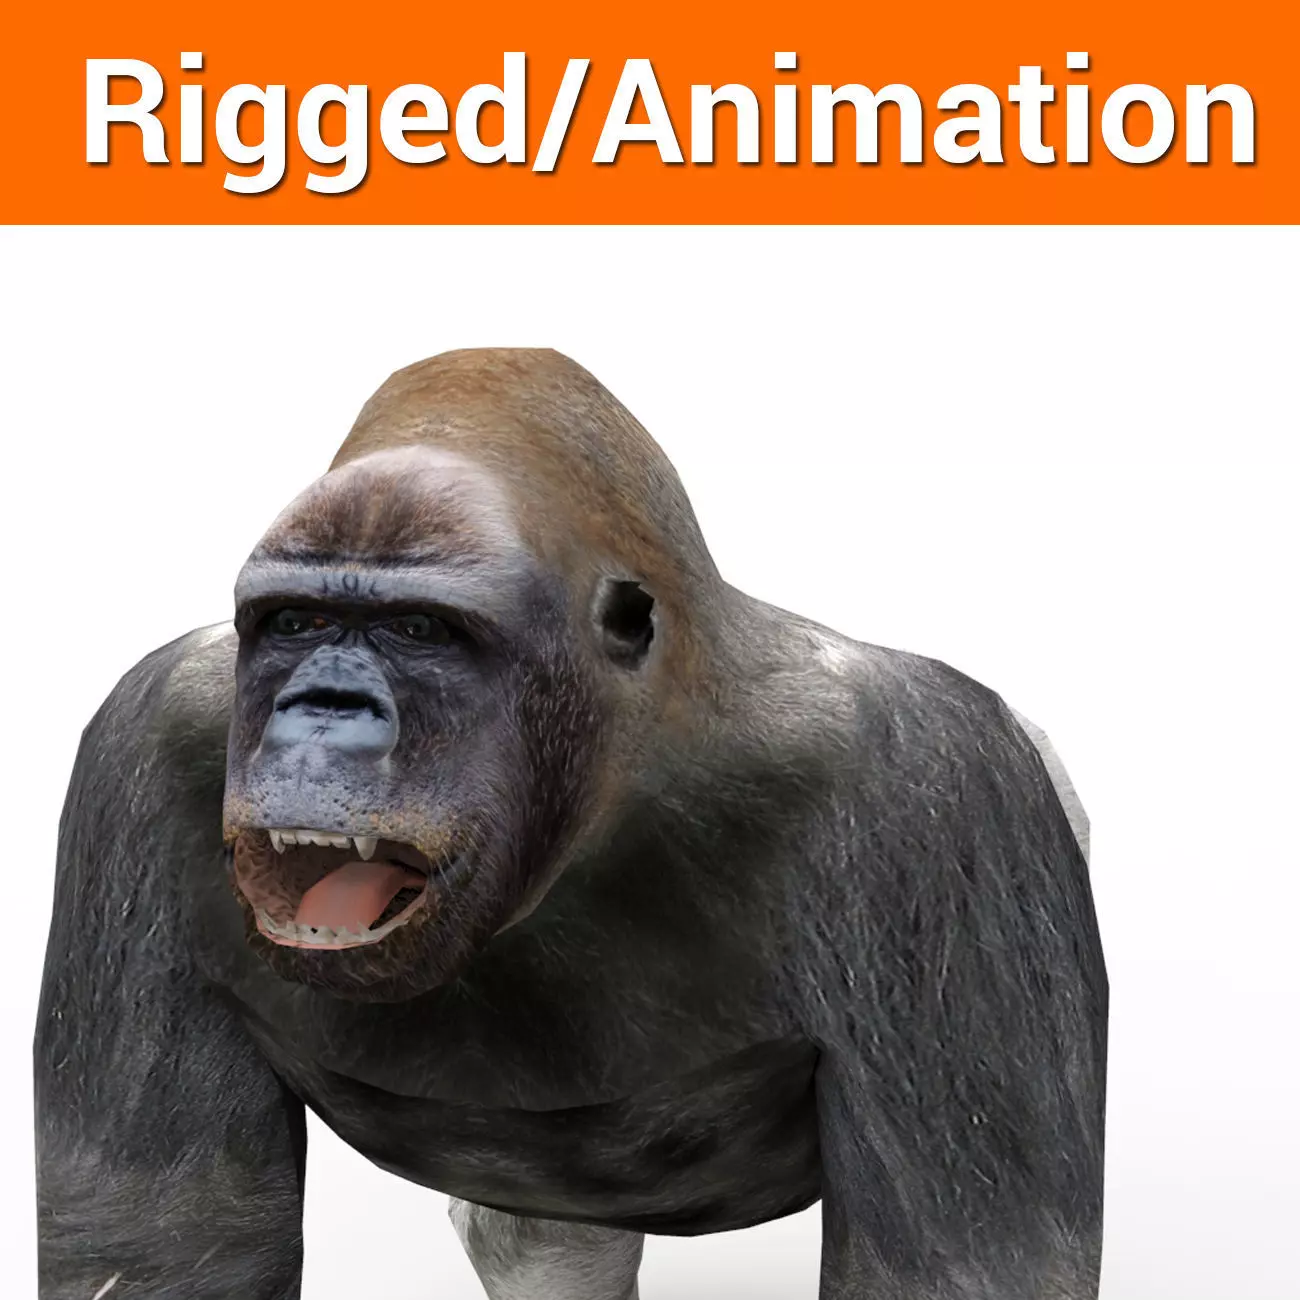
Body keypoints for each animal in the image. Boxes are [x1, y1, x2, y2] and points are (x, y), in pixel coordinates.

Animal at [34, 348, 1106, 1300]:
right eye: (294, 621)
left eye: (420, 630)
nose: (322, 707)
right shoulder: (148, 731)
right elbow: (156, 1250)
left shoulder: (938, 786)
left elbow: (966, 1272)